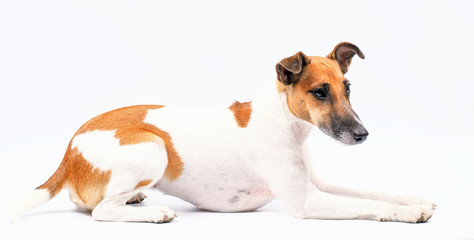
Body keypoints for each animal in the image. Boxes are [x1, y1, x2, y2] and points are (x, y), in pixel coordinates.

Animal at [8, 42, 436, 223]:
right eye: (320, 92)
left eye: (347, 88)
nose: (363, 135)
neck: (285, 123)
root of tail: (69, 151)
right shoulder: (307, 201)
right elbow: (369, 204)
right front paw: (409, 212)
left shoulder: (316, 183)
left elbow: (372, 192)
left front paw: (415, 199)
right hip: (152, 146)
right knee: (100, 211)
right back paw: (153, 212)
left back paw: (135, 199)